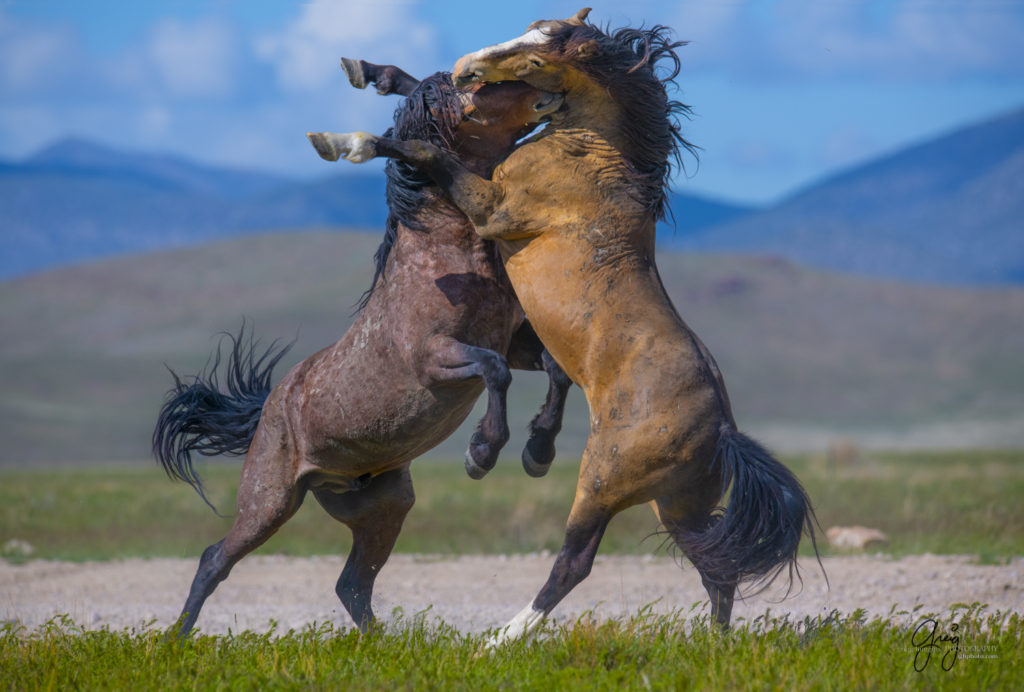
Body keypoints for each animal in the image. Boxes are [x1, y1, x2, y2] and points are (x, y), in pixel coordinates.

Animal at [152, 65, 573, 638]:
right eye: (476, 90)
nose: (551, 91)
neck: (446, 255)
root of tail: (269, 409)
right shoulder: (439, 357)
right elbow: (495, 373)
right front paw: (481, 453)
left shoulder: (511, 338)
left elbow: (555, 369)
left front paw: (539, 451)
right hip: (269, 503)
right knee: (215, 559)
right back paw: (177, 637)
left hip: (383, 506)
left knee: (352, 584)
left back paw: (382, 644)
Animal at [319, 8, 823, 646]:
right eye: (533, 25)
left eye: (537, 57)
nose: (466, 67)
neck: (590, 152)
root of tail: (722, 432)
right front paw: (372, 72)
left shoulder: (492, 207)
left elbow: (426, 152)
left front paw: (346, 142)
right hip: (678, 505)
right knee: (717, 565)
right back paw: (714, 641)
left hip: (601, 484)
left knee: (574, 563)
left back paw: (498, 640)